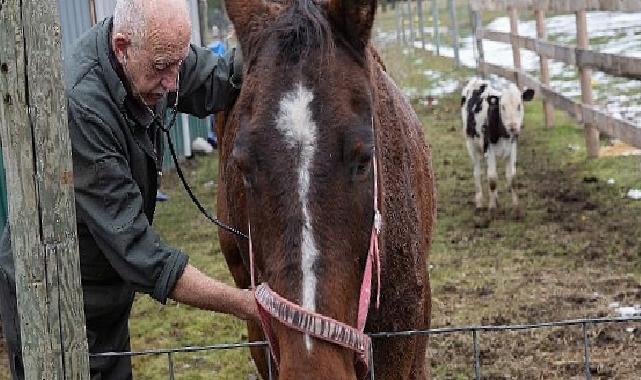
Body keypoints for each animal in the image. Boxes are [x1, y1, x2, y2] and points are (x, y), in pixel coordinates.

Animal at [460, 78, 536, 218]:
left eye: (519, 105)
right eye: (502, 107)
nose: (513, 127)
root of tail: (477, 80)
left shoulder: (512, 148)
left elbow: (512, 179)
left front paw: (516, 209)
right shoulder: (488, 149)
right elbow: (492, 179)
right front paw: (492, 209)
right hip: (470, 143)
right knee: (477, 172)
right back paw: (480, 204)